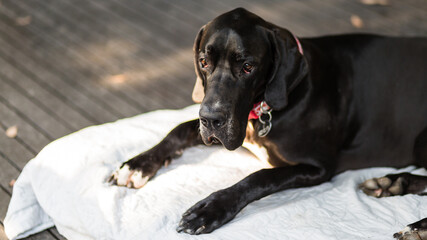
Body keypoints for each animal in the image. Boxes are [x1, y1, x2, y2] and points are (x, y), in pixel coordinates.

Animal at [110, 7, 427, 238]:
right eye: (203, 62)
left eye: (247, 66)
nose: (210, 118)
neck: (262, 110)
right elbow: (177, 129)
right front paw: (138, 164)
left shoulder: (319, 167)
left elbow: (260, 176)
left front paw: (211, 209)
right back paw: (392, 183)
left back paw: (416, 225)